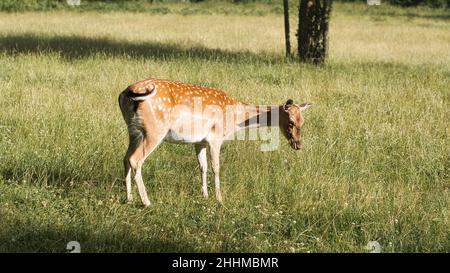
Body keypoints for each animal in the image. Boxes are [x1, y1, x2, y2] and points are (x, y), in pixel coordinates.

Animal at [118, 77, 312, 205]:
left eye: (303, 121)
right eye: (291, 122)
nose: (298, 144)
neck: (236, 118)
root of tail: (126, 94)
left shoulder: (200, 141)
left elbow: (202, 166)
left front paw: (204, 195)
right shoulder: (215, 137)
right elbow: (216, 167)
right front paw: (219, 198)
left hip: (133, 130)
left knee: (126, 158)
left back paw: (129, 198)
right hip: (155, 129)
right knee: (135, 159)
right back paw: (146, 201)